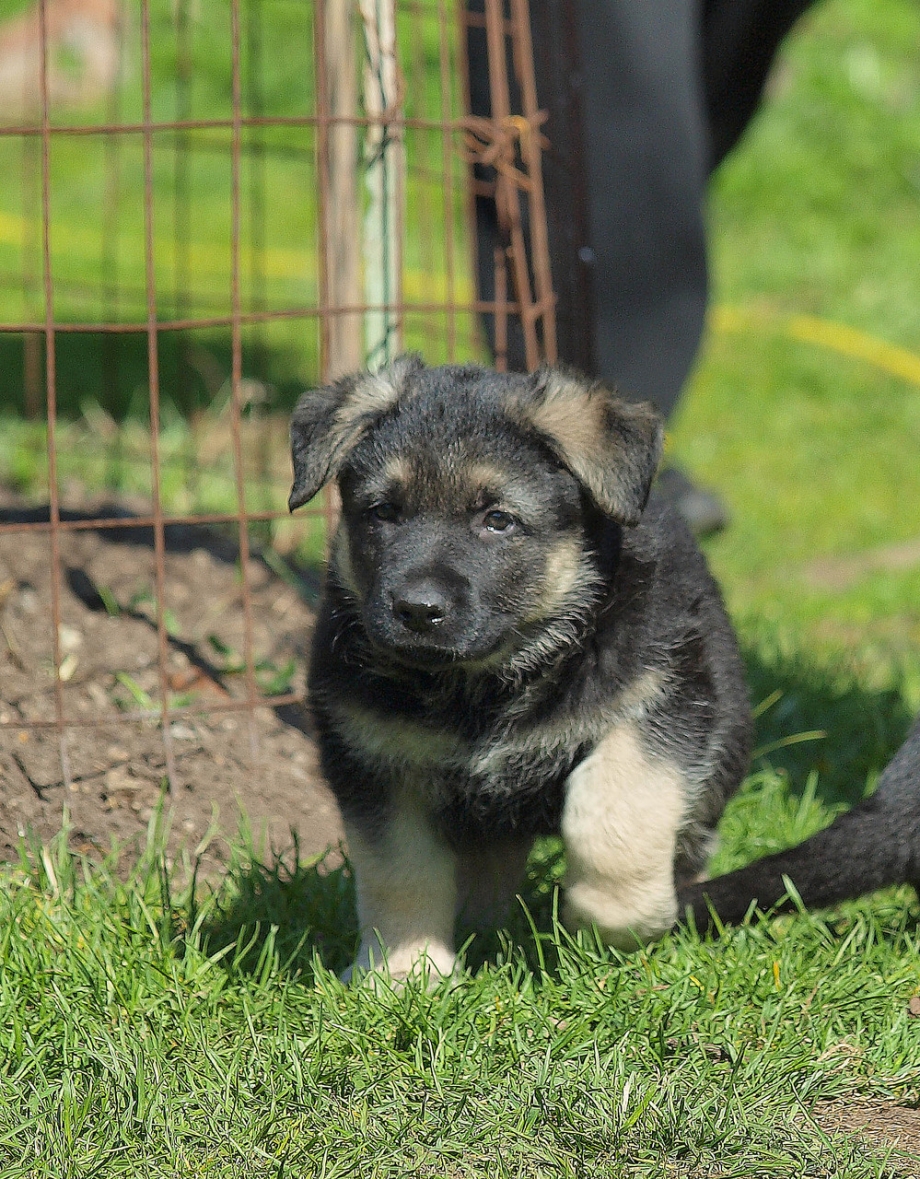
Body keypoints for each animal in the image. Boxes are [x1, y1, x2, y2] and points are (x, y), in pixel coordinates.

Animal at [291, 353, 750, 980]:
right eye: (384, 512)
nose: (417, 610)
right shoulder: (376, 761)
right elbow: (400, 874)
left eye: (499, 520)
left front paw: (622, 922)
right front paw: (404, 972)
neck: (486, 682)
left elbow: (613, 814)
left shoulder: (661, 701)